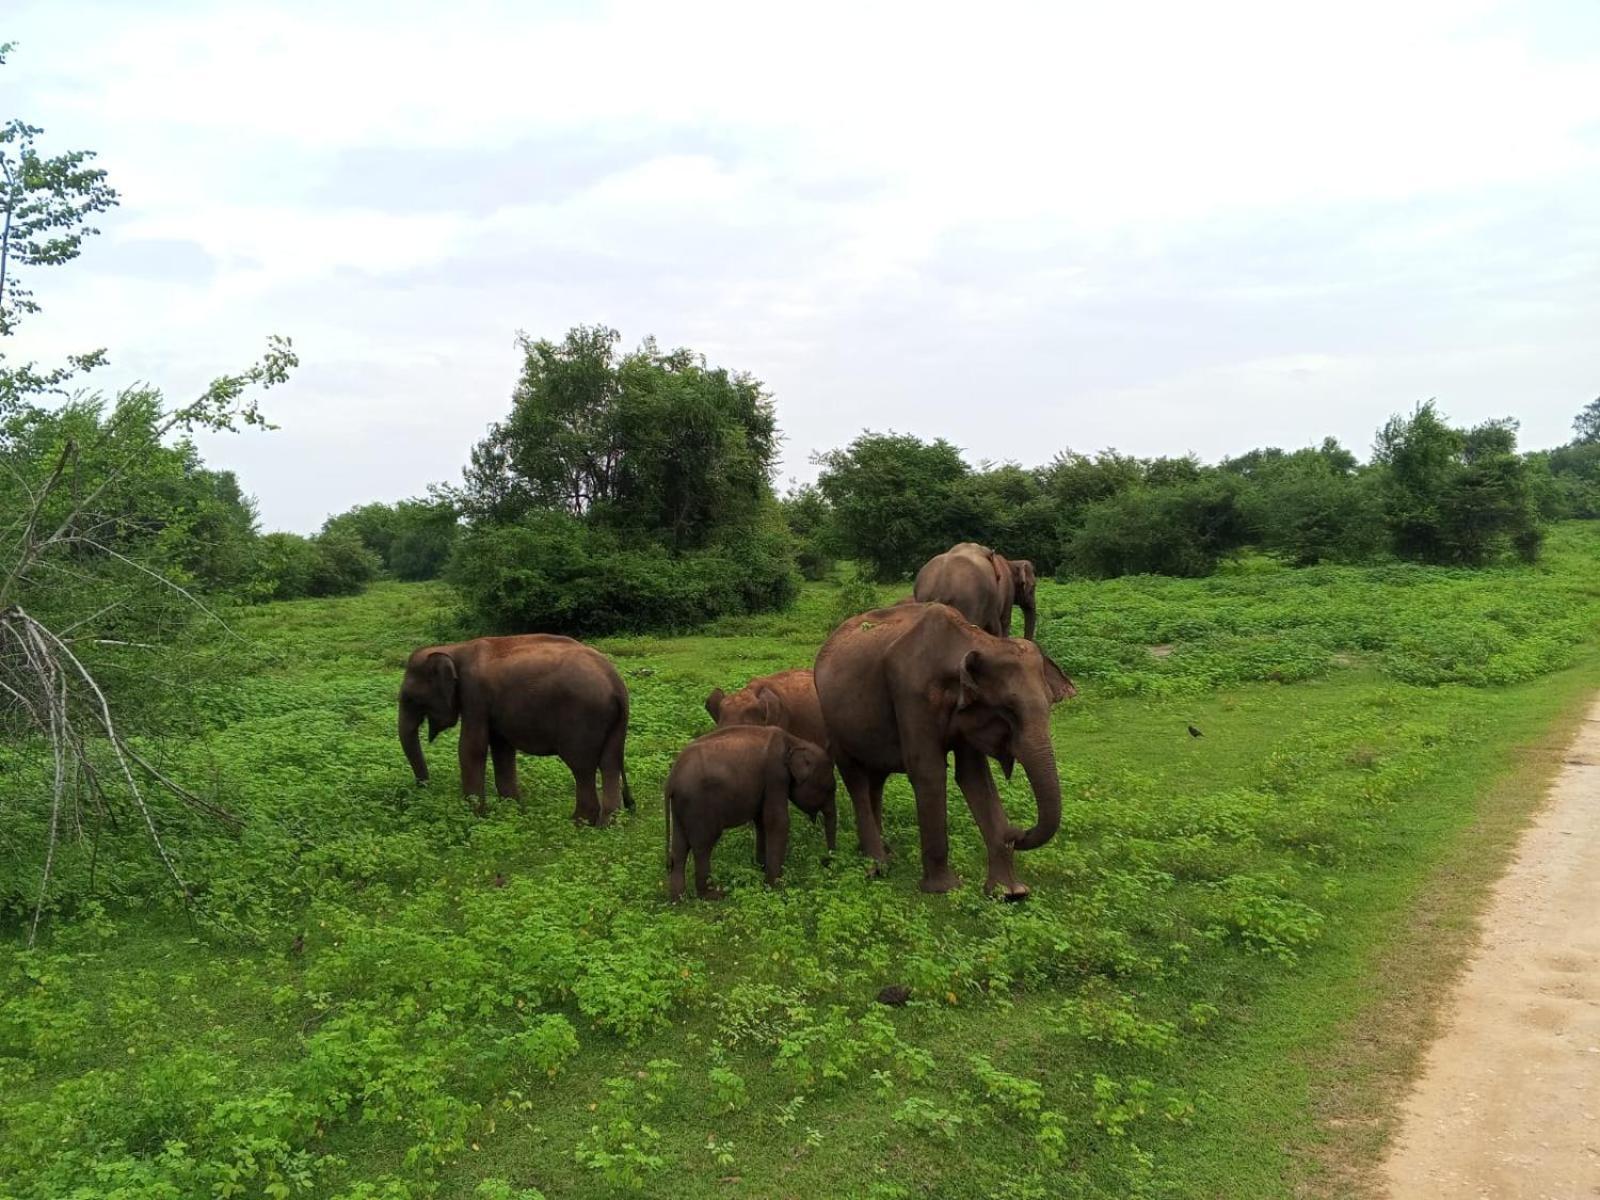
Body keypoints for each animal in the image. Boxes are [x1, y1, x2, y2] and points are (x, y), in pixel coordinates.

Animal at [396, 640, 633, 825]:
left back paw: (579, 823)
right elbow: (502, 748)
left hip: (582, 717)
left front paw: (475, 816)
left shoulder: (474, 694)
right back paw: (609, 824)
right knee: (610, 763)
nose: (424, 788)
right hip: (615, 722)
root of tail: (616, 683)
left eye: (409, 699)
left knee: (582, 767)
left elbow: (472, 747)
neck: (453, 649)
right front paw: (512, 810)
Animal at [662, 723, 838, 902]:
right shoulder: (776, 774)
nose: (826, 861)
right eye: (829, 789)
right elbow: (777, 821)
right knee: (703, 846)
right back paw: (713, 895)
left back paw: (678, 900)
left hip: (680, 807)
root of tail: (671, 781)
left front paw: (761, 868)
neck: (794, 741)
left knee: (679, 849)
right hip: (698, 805)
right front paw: (776, 887)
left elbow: (761, 821)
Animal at [812, 604, 1075, 896]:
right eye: (1009, 710)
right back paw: (876, 865)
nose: (1015, 833)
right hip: (833, 723)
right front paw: (944, 889)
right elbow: (929, 771)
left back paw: (882, 853)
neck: (977, 641)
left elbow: (975, 777)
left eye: (1050, 704)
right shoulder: (911, 695)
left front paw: (1010, 893)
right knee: (855, 779)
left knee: (876, 781)